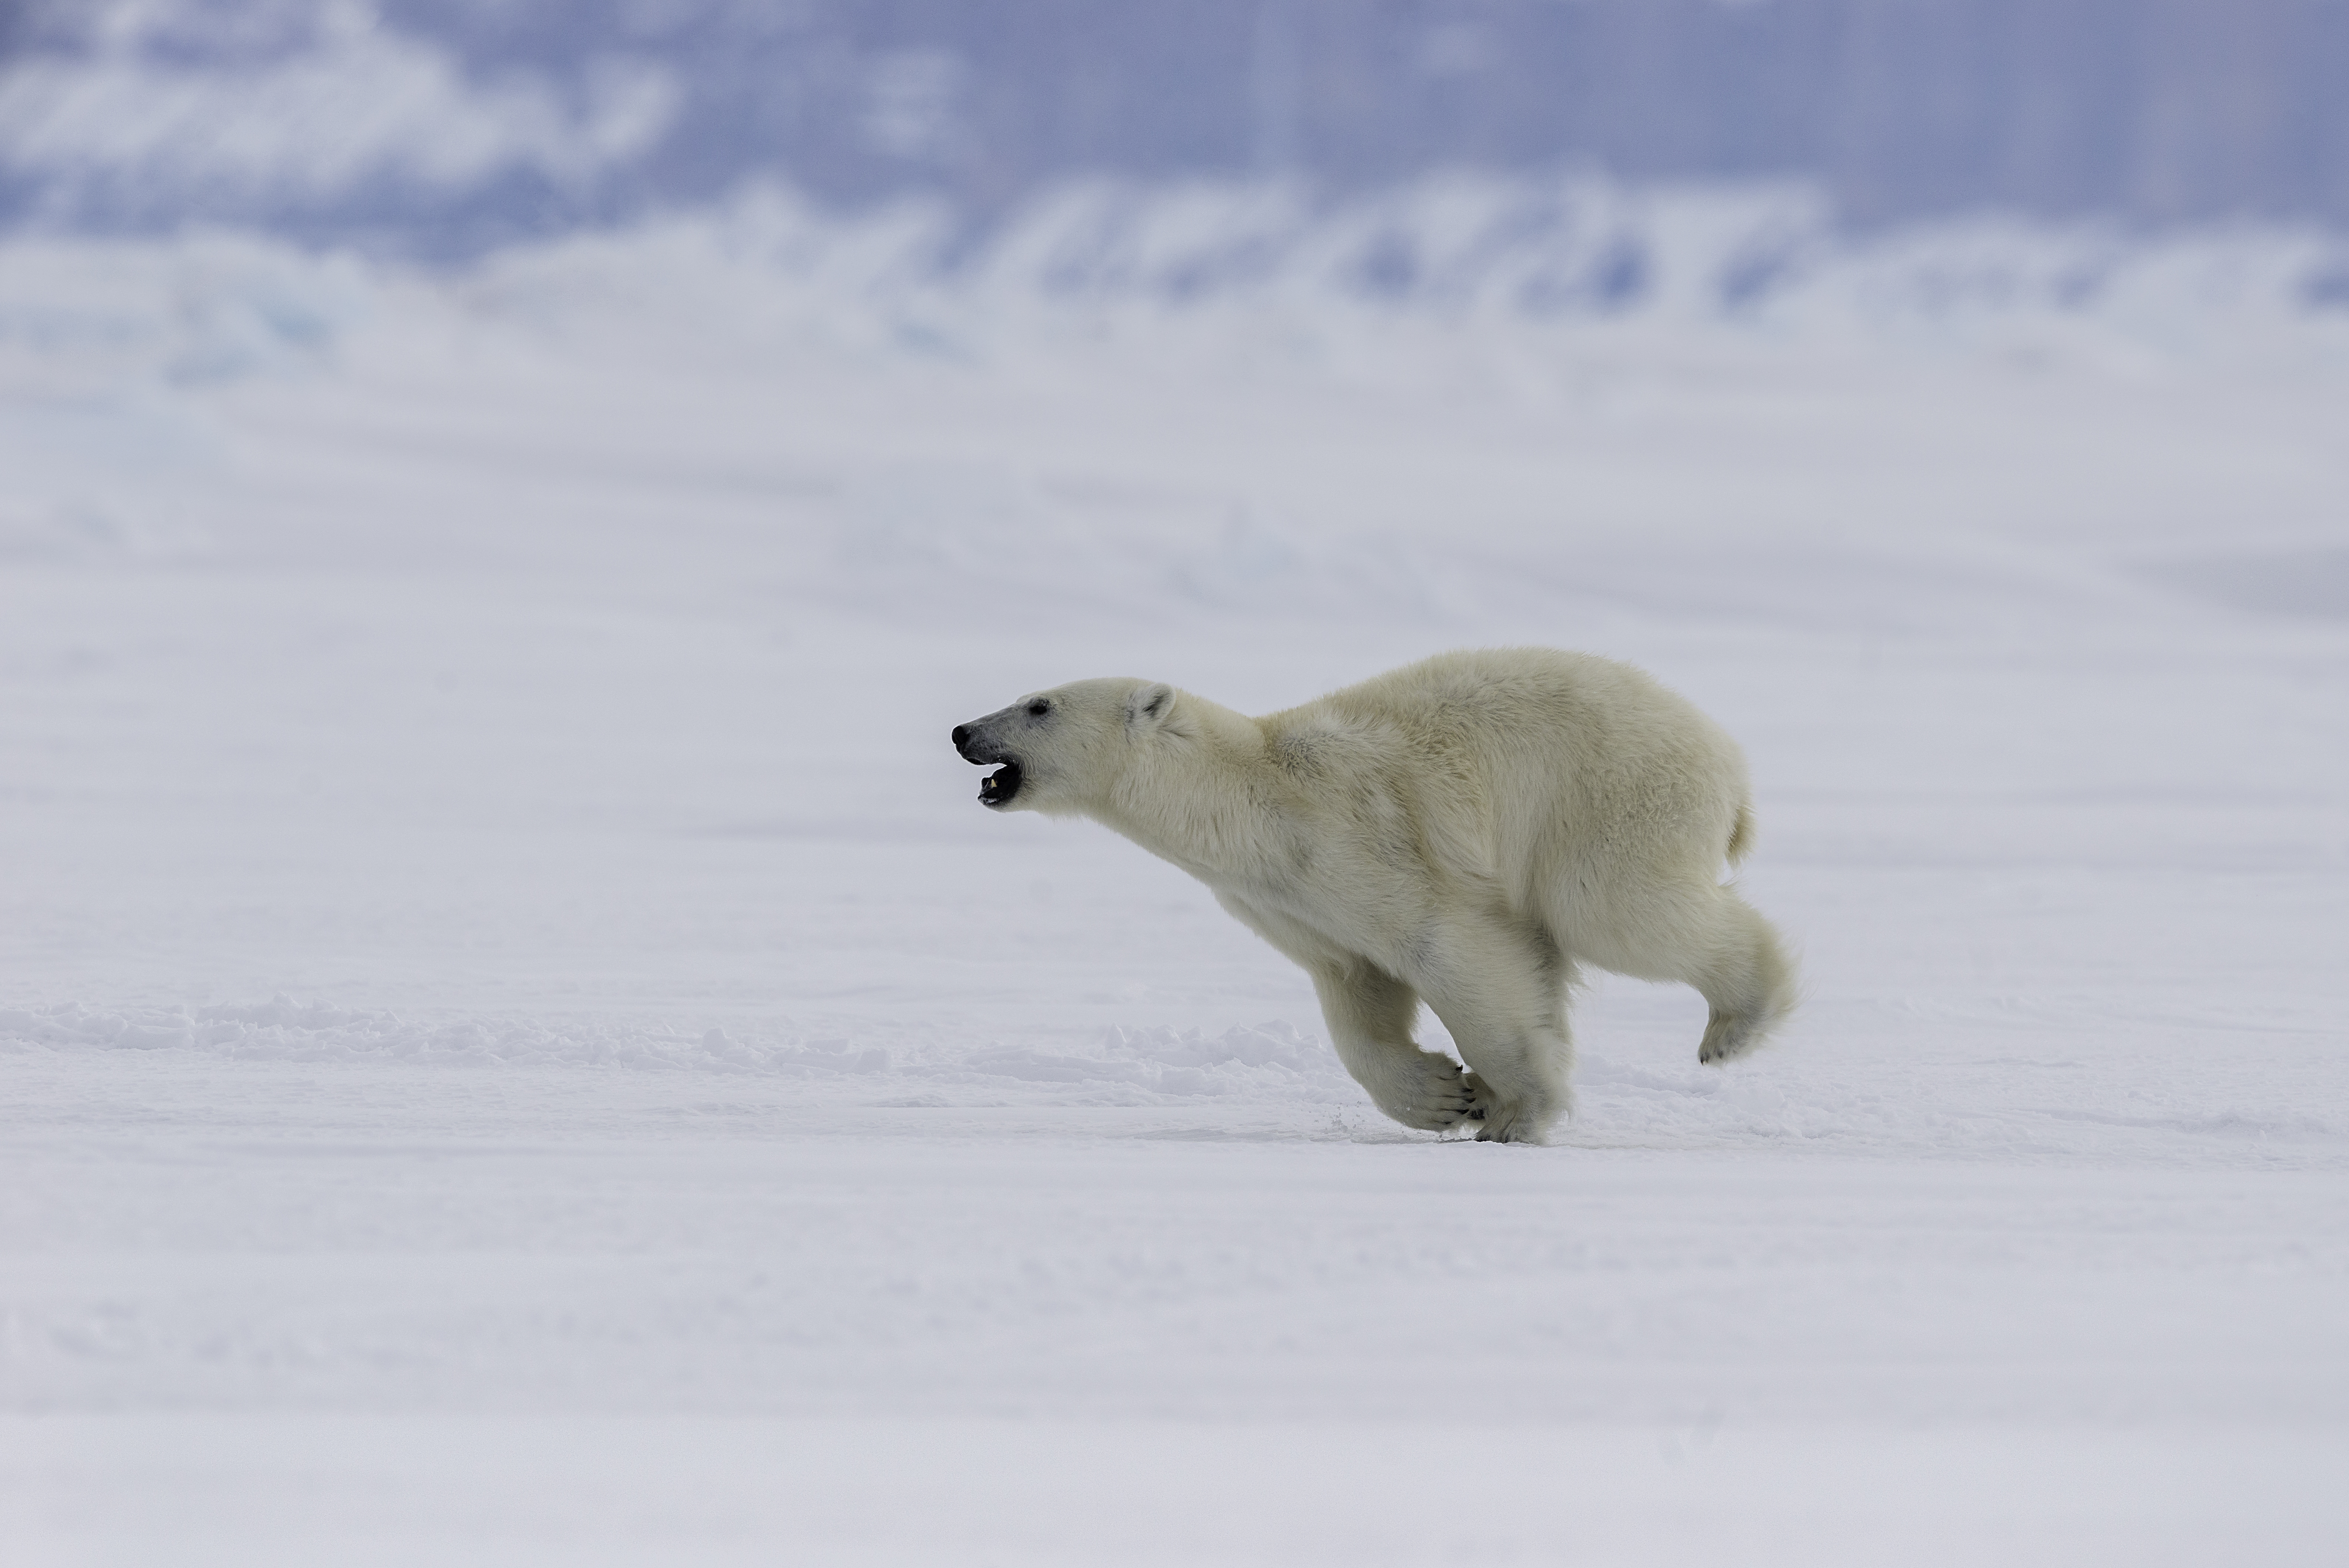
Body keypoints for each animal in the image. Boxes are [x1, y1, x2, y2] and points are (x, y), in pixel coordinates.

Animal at [951, 648, 1796, 1143]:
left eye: (1038, 705)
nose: (962, 731)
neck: (1255, 800)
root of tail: (1731, 772)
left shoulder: (1363, 841)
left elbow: (1454, 949)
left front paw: (1517, 1109)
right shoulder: (1290, 901)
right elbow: (1356, 991)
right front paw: (1449, 1097)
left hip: (1607, 797)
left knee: (1615, 909)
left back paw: (1734, 1025)